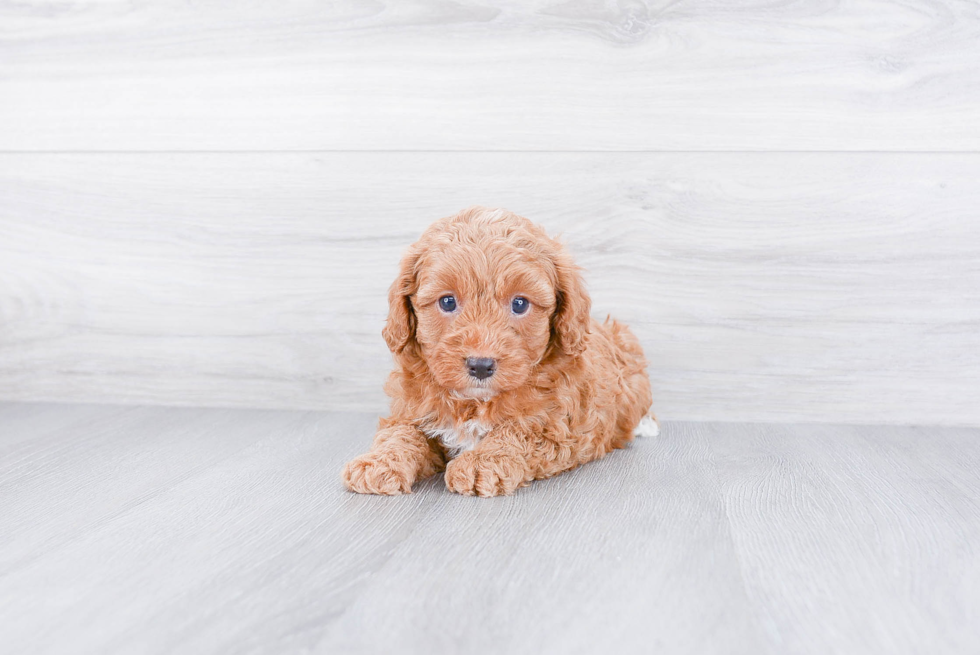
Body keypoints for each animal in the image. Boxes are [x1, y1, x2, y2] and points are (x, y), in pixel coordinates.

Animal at [340, 208, 656, 500]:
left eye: (519, 304)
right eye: (447, 301)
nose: (480, 365)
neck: (474, 402)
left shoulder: (555, 425)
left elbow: (518, 431)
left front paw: (481, 462)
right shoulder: (411, 411)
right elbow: (400, 432)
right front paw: (378, 462)